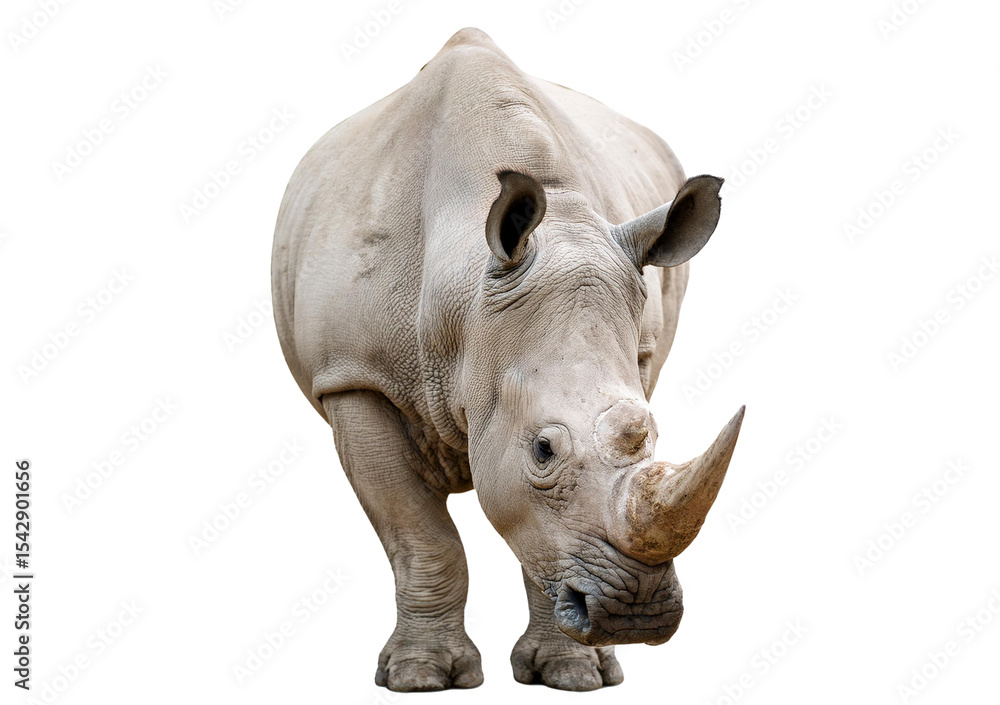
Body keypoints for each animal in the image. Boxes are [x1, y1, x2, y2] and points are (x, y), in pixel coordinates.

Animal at [271, 27, 744, 692]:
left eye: (650, 434)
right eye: (542, 450)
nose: (637, 615)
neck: (461, 310)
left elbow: (535, 534)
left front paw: (574, 674)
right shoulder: (353, 377)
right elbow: (421, 536)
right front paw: (419, 678)